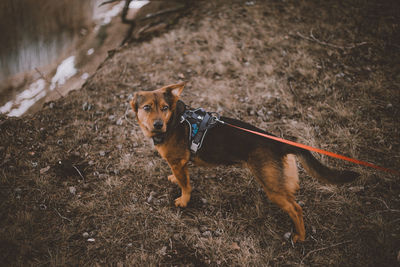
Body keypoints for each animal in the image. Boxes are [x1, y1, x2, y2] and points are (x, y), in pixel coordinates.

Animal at [131, 81, 360, 243]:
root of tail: (278, 143)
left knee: (296, 209)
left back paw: (300, 237)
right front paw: (173, 179)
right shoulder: (180, 164)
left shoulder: (178, 162)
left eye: (164, 107)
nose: (158, 124)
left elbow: (186, 186)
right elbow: (180, 178)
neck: (175, 121)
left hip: (272, 188)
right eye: (146, 107)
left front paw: (183, 200)